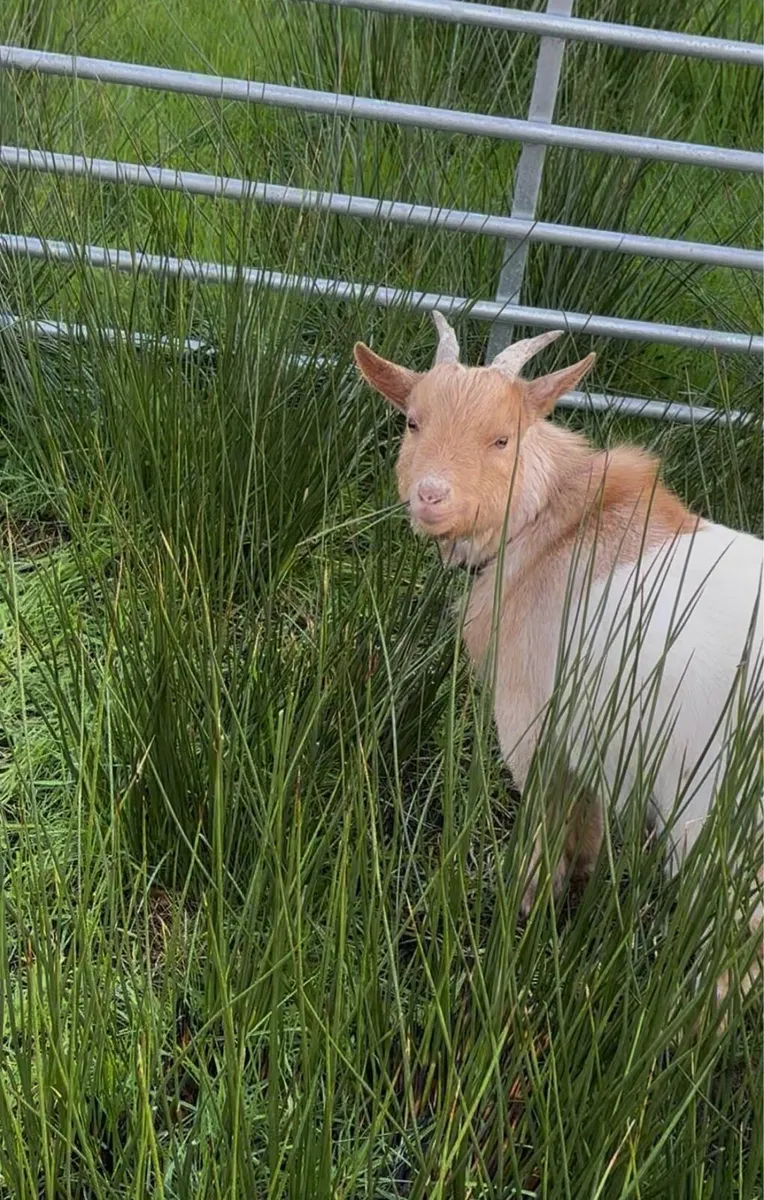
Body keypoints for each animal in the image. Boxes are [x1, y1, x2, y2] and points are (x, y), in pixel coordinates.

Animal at [354, 313, 763, 1013]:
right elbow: (588, 842)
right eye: (411, 422)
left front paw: (523, 922)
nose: (431, 497)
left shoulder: (535, 731)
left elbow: (551, 841)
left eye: (502, 437)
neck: (549, 531)